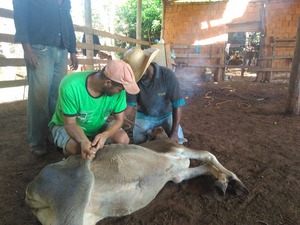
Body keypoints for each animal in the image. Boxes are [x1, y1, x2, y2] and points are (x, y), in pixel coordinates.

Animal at [25, 127, 248, 224]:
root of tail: (30, 192)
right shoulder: (175, 151)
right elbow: (209, 155)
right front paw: (236, 182)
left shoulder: (177, 174)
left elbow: (206, 166)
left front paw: (223, 183)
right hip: (77, 191)